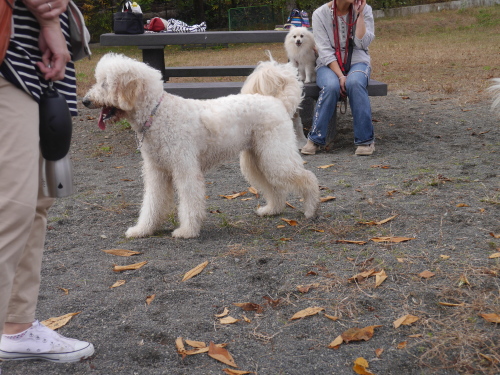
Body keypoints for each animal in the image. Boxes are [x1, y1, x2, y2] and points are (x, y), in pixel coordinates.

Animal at [81, 53, 316, 238]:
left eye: (105, 83)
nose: (85, 101)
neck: (158, 114)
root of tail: (278, 102)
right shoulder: (157, 172)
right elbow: (151, 203)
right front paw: (143, 229)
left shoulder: (185, 170)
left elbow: (189, 202)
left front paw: (187, 231)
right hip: (257, 160)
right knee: (275, 187)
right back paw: (273, 210)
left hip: (275, 156)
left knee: (308, 178)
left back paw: (311, 210)